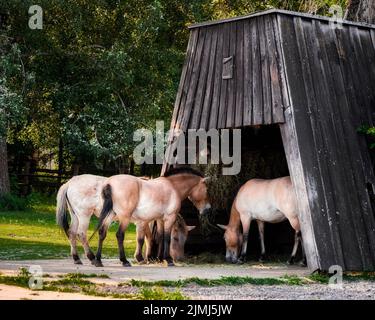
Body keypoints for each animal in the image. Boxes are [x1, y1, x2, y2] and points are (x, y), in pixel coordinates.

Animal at [56, 174, 197, 264]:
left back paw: (77, 258)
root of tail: (69, 183)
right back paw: (91, 257)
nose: (180, 258)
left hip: (75, 215)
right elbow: (144, 239)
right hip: (84, 215)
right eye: (175, 238)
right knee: (81, 234)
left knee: (72, 233)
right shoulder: (142, 222)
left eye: (186, 239)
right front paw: (143, 258)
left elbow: (148, 238)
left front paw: (147, 257)